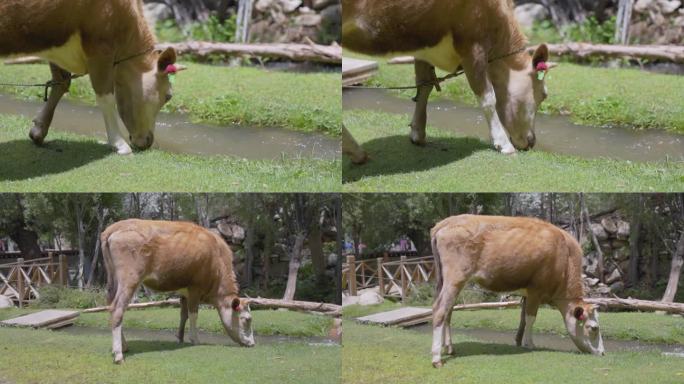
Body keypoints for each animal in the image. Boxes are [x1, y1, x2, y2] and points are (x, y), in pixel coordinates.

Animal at [0, 0, 184, 154]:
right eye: (168, 96)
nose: (148, 141)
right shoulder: (100, 46)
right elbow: (106, 98)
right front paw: (119, 144)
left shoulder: (54, 44)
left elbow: (61, 83)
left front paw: (39, 131)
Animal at [104, 219, 256, 364]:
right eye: (247, 319)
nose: (253, 344)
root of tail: (114, 227)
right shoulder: (195, 287)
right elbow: (194, 314)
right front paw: (195, 339)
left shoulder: (184, 292)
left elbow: (184, 315)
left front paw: (180, 338)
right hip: (129, 279)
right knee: (118, 309)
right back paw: (118, 355)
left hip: (113, 280)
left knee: (111, 305)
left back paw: (123, 347)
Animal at [342, 0, 556, 163]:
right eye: (543, 95)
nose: (532, 141)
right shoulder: (473, 45)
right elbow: (488, 98)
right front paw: (503, 143)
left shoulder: (424, 45)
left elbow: (424, 85)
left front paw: (418, 133)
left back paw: (357, 153)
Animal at [430, 214, 608, 368]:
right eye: (593, 328)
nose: (603, 353)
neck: (565, 256)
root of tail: (445, 222)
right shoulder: (536, 289)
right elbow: (531, 318)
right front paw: (530, 343)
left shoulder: (527, 293)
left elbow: (523, 318)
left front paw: (518, 341)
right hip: (455, 278)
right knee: (439, 310)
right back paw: (436, 358)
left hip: (446, 281)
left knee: (448, 311)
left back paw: (449, 348)